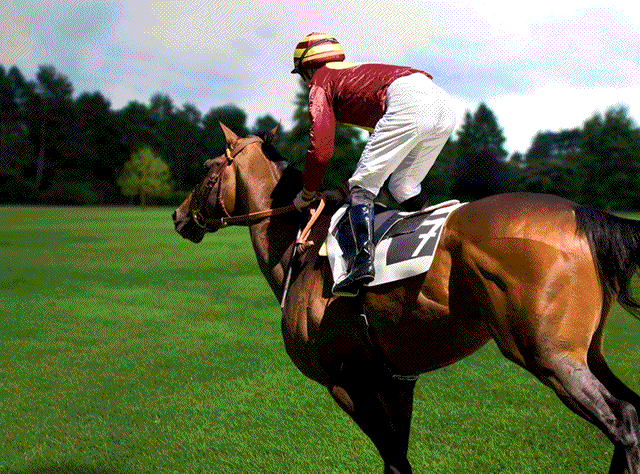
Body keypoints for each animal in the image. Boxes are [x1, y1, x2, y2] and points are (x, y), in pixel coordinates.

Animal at [172, 123, 640, 474]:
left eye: (207, 169)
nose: (177, 216)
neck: (302, 249)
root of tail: (584, 213)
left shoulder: (346, 380)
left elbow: (396, 462)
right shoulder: (395, 379)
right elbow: (396, 458)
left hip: (549, 356)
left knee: (623, 420)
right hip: (586, 353)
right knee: (634, 407)